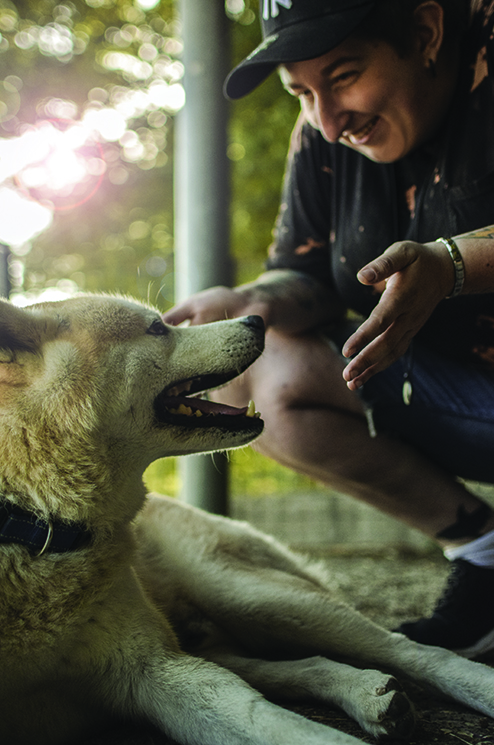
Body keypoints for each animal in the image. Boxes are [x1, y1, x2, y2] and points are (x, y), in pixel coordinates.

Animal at [0, 292, 492, 744]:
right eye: (157, 328)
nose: (257, 319)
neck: (35, 519)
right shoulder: (168, 669)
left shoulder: (156, 668)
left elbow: (281, 724)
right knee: (297, 665)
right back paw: (367, 693)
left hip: (247, 594)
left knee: (409, 649)